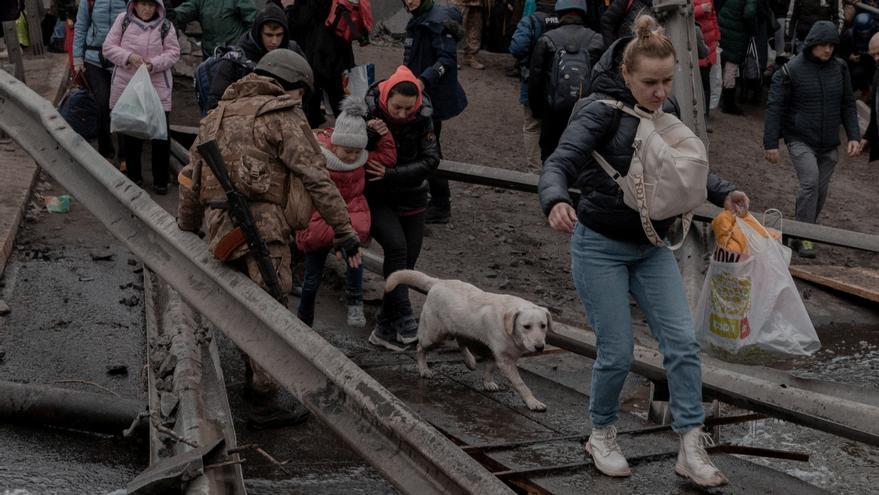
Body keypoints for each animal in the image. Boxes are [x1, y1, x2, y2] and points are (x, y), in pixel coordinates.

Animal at [384, 272, 552, 410]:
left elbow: (490, 367)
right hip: (433, 335)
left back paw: (469, 360)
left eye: (543, 325)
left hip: (461, 329)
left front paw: (488, 382)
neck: (509, 327)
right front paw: (532, 402)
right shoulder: (505, 361)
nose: (540, 347)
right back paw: (423, 369)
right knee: (420, 347)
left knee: (461, 341)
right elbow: (521, 384)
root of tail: (439, 282)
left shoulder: (496, 353)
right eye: (526, 326)